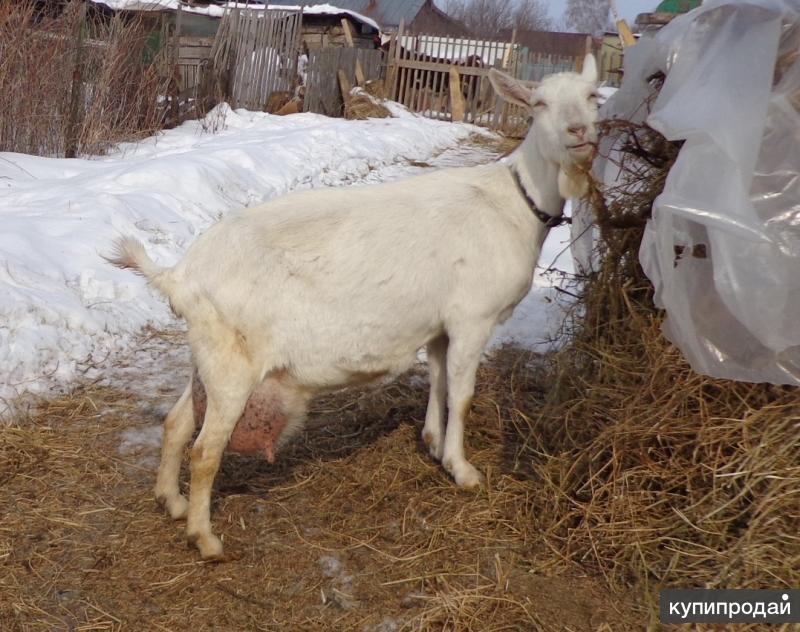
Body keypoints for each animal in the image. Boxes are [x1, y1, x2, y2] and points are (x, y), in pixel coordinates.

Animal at [111, 54, 600, 556]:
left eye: (593, 97)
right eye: (539, 104)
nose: (580, 131)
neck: (514, 202)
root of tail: (181, 276)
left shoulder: (440, 325)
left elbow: (439, 381)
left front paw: (433, 443)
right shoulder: (473, 318)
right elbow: (462, 396)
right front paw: (463, 470)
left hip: (208, 355)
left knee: (176, 423)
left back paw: (171, 501)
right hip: (234, 364)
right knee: (205, 450)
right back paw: (205, 538)